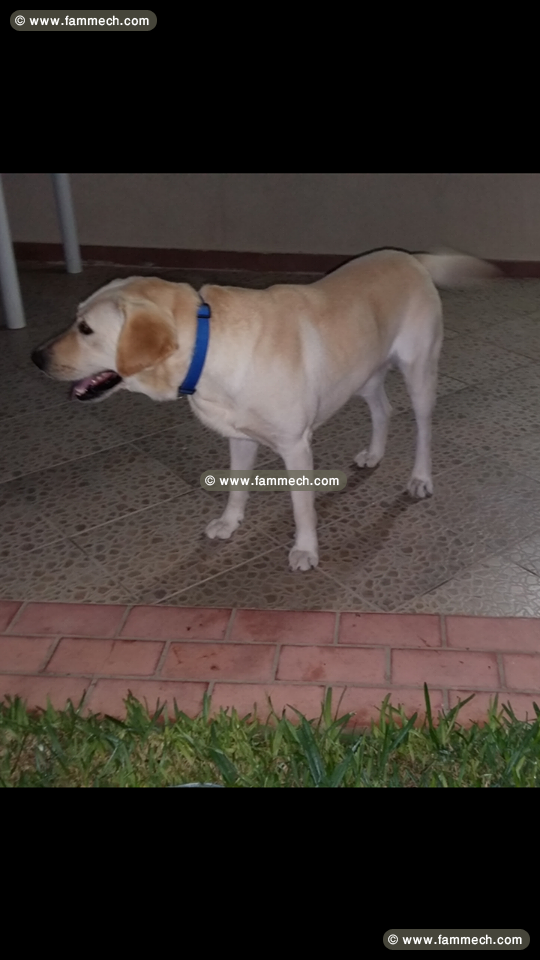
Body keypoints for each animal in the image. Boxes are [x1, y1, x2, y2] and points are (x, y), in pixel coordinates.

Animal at [31, 248, 496, 568]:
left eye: (86, 329)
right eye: (75, 319)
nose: (36, 357)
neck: (207, 347)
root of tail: (411, 257)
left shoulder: (295, 447)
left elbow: (302, 506)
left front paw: (305, 550)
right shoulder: (239, 438)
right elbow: (237, 487)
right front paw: (229, 522)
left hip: (419, 373)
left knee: (422, 428)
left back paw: (420, 478)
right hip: (362, 376)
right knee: (383, 409)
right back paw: (374, 454)